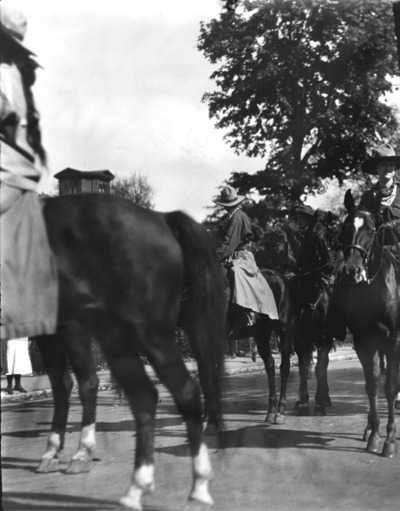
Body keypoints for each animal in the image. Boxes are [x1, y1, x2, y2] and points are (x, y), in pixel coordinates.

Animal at [32, 193, 227, 511]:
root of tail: (161, 217)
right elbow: (64, 385)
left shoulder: (67, 327)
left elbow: (78, 384)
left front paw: (73, 452)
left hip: (149, 332)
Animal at [330, 190, 400, 458]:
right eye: (345, 227)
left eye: (371, 230)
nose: (351, 271)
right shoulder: (363, 341)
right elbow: (372, 386)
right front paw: (375, 435)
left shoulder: (393, 340)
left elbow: (390, 387)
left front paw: (389, 439)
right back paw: (369, 427)